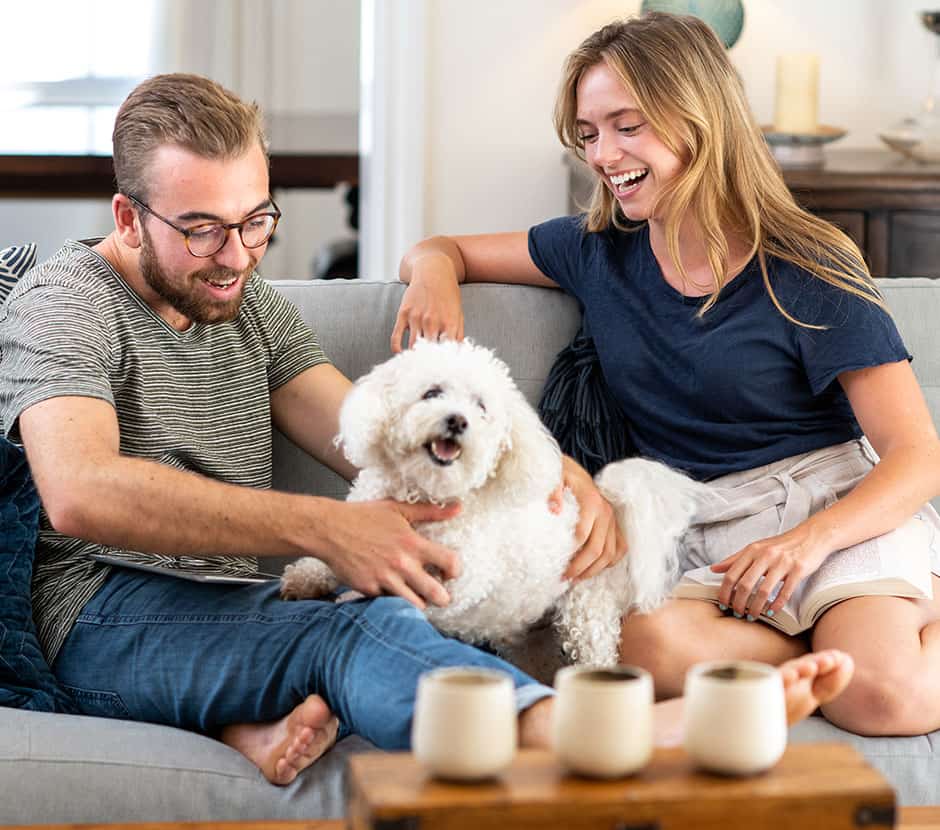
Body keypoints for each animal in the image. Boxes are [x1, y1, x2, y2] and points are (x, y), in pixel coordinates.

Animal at [282, 338, 708, 668]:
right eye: (432, 392)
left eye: (481, 407)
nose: (458, 420)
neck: (427, 492)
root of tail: (608, 503)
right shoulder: (361, 528)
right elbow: (336, 550)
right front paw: (307, 577)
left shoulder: (461, 579)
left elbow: (417, 598)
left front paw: (354, 596)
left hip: (586, 613)